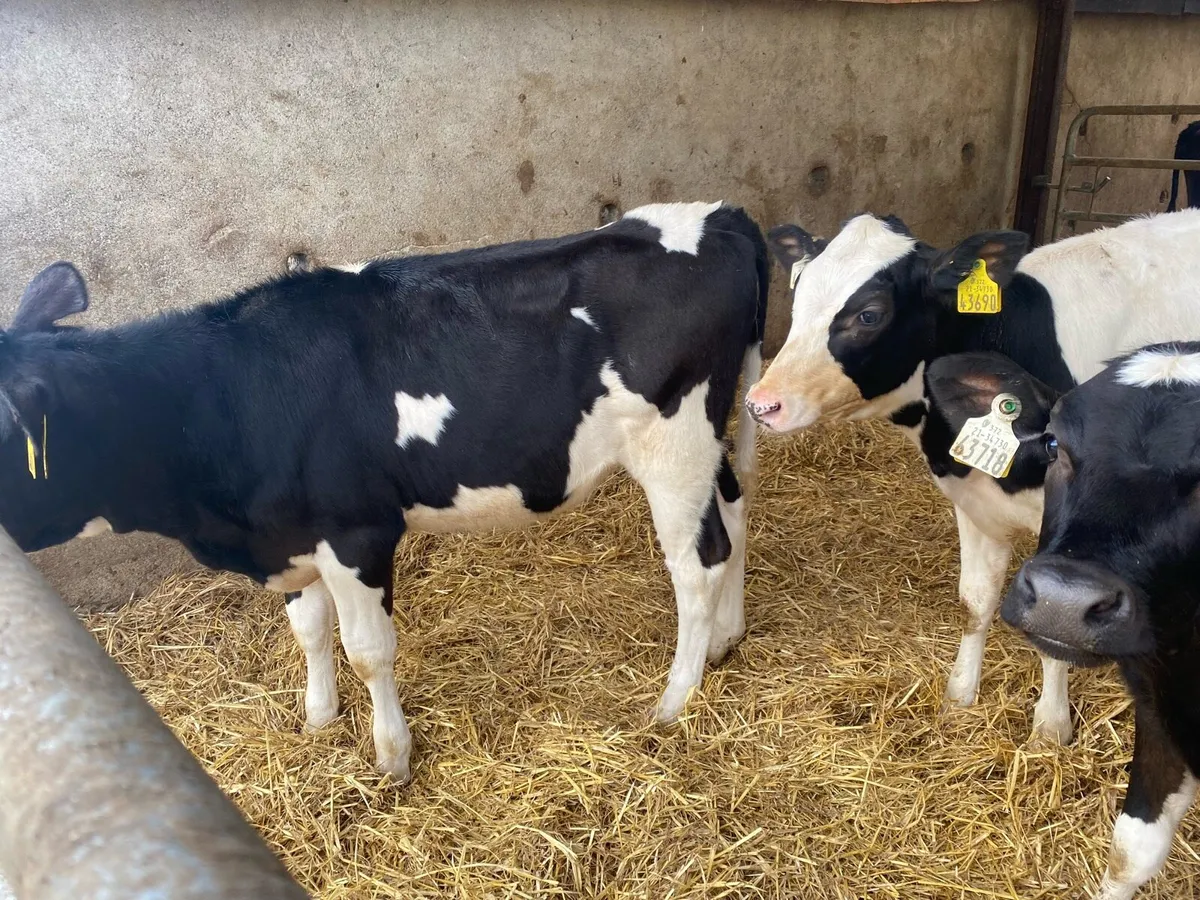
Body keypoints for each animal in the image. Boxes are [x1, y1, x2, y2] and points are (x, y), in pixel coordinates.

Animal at [0, 200, 768, 783]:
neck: (228, 397)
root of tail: (721, 217)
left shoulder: (357, 534)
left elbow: (368, 650)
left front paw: (391, 758)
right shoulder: (292, 536)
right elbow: (308, 630)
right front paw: (317, 718)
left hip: (675, 441)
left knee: (698, 561)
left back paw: (674, 699)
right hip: (708, 439)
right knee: (734, 512)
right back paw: (726, 639)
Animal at [744, 209, 1200, 745]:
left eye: (870, 314)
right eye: (798, 295)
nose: (762, 404)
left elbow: (1057, 621)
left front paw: (1051, 726)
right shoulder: (973, 502)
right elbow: (976, 602)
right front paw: (960, 696)